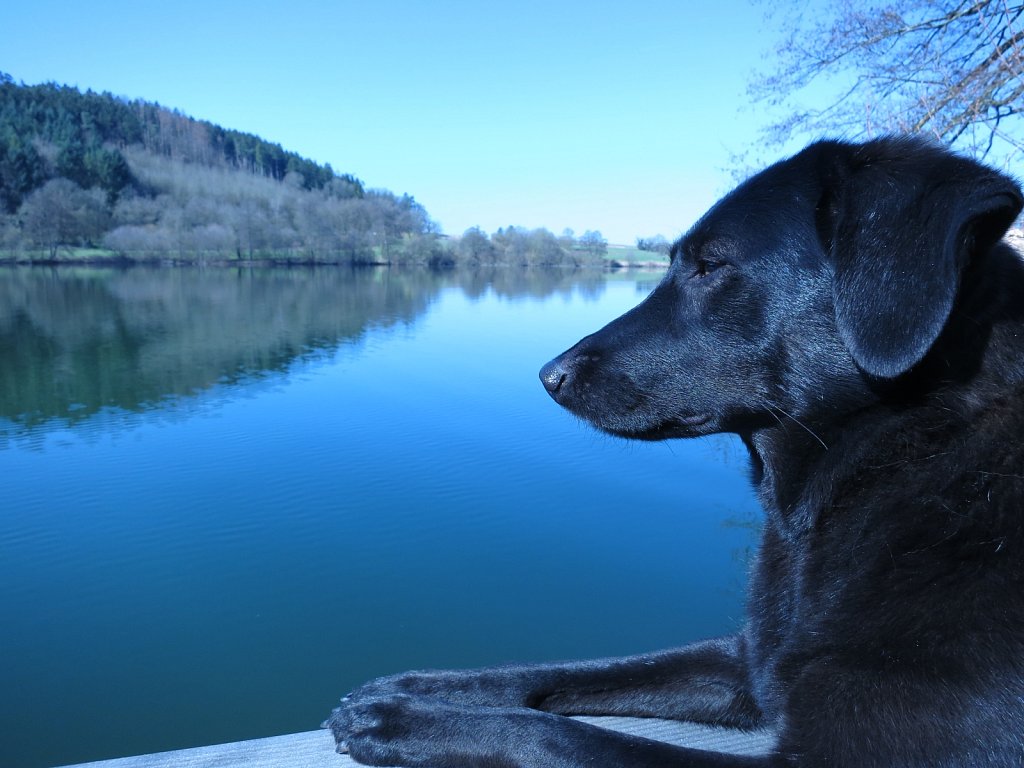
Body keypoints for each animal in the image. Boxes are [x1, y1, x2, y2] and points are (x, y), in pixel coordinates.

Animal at [325, 140, 1024, 768]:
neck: (891, 459)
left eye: (710, 266)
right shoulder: (747, 660)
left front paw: (406, 721)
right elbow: (569, 671)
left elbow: (564, 737)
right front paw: (420, 689)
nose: (550, 376)